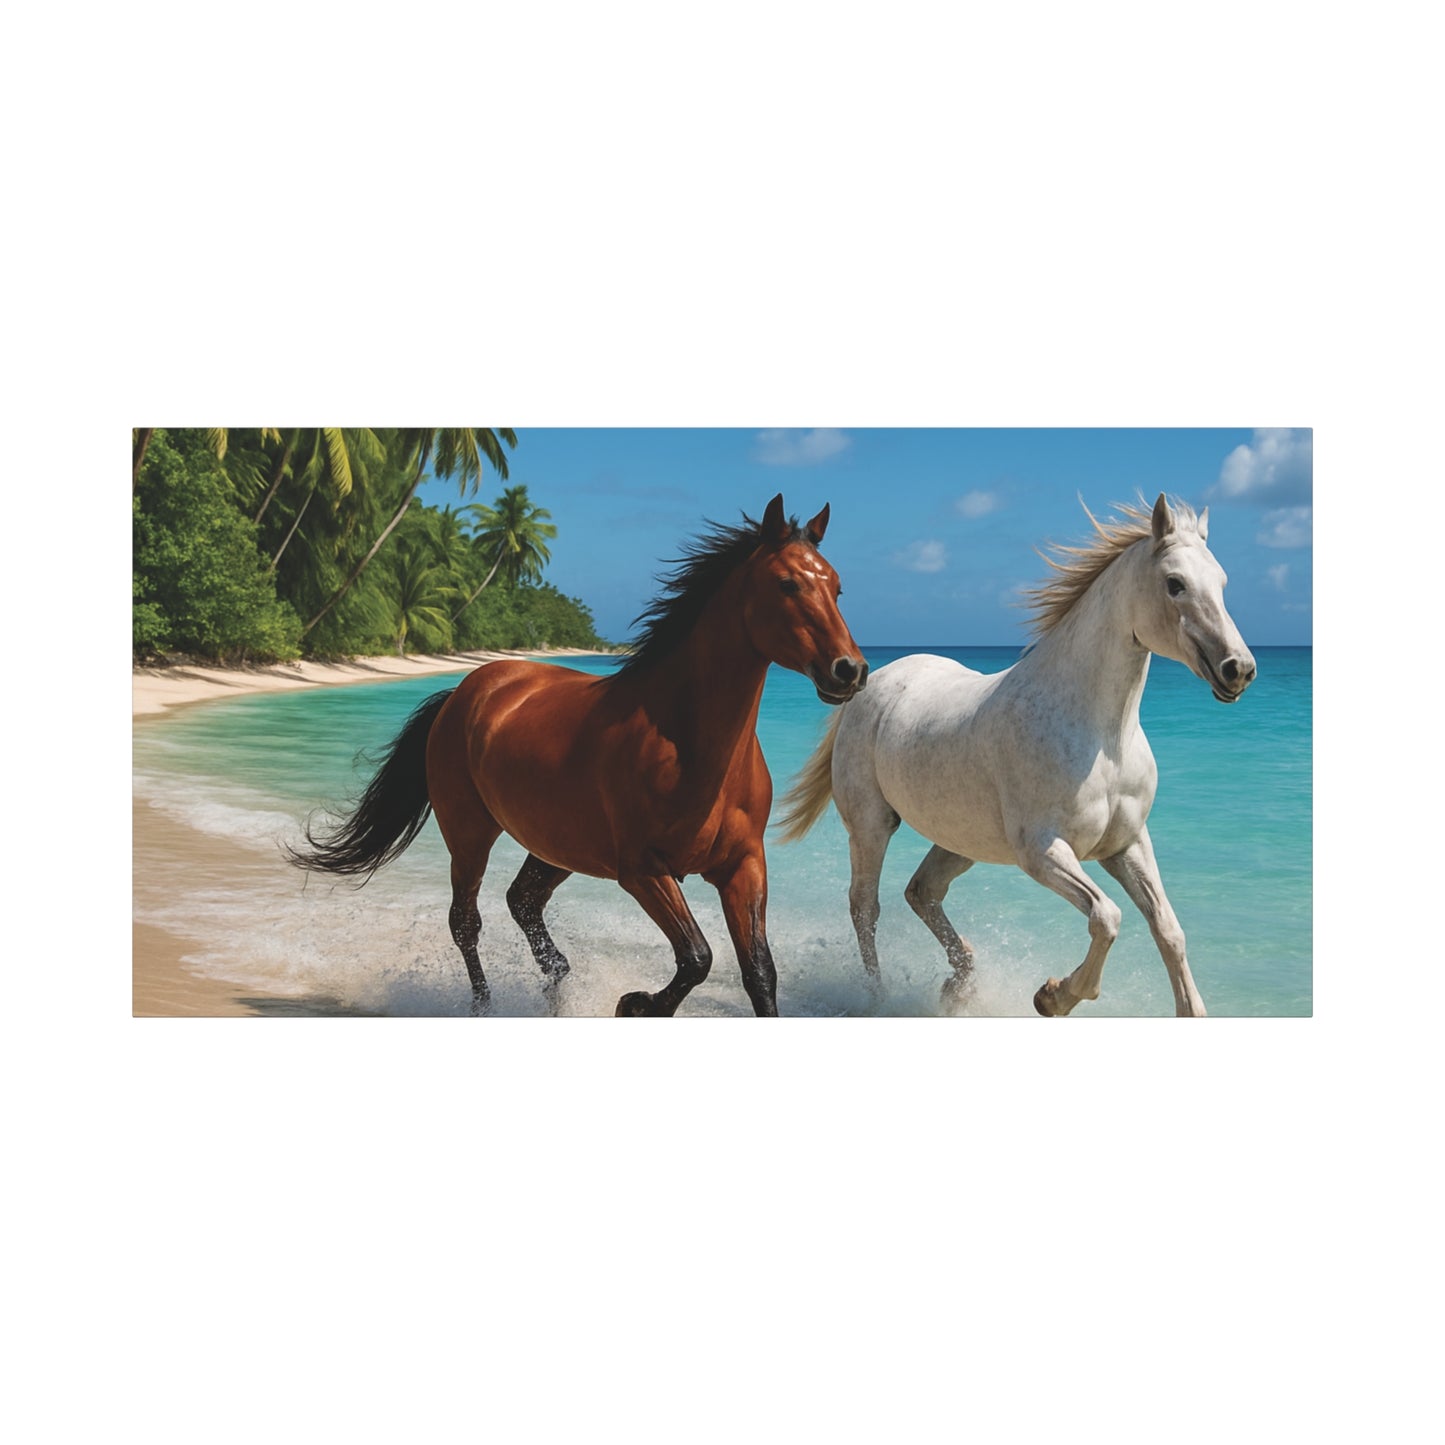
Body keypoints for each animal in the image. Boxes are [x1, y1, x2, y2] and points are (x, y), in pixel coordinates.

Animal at [290, 494, 866, 1017]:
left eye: (839, 588)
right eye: (787, 583)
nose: (850, 671)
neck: (688, 747)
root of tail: (465, 690)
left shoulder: (743, 866)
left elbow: (760, 974)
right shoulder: (643, 871)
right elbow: (697, 957)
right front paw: (636, 1004)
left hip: (556, 845)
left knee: (522, 902)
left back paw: (557, 979)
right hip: (469, 833)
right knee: (465, 921)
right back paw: (485, 1006)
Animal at [777, 494, 1255, 1018]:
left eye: (1223, 582)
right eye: (1175, 584)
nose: (1239, 669)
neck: (1100, 738)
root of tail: (871, 680)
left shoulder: (1127, 845)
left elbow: (1168, 929)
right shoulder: (1043, 852)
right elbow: (1107, 916)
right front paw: (1053, 996)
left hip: (960, 840)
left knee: (922, 892)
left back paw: (959, 984)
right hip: (871, 826)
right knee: (866, 906)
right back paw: (877, 996)